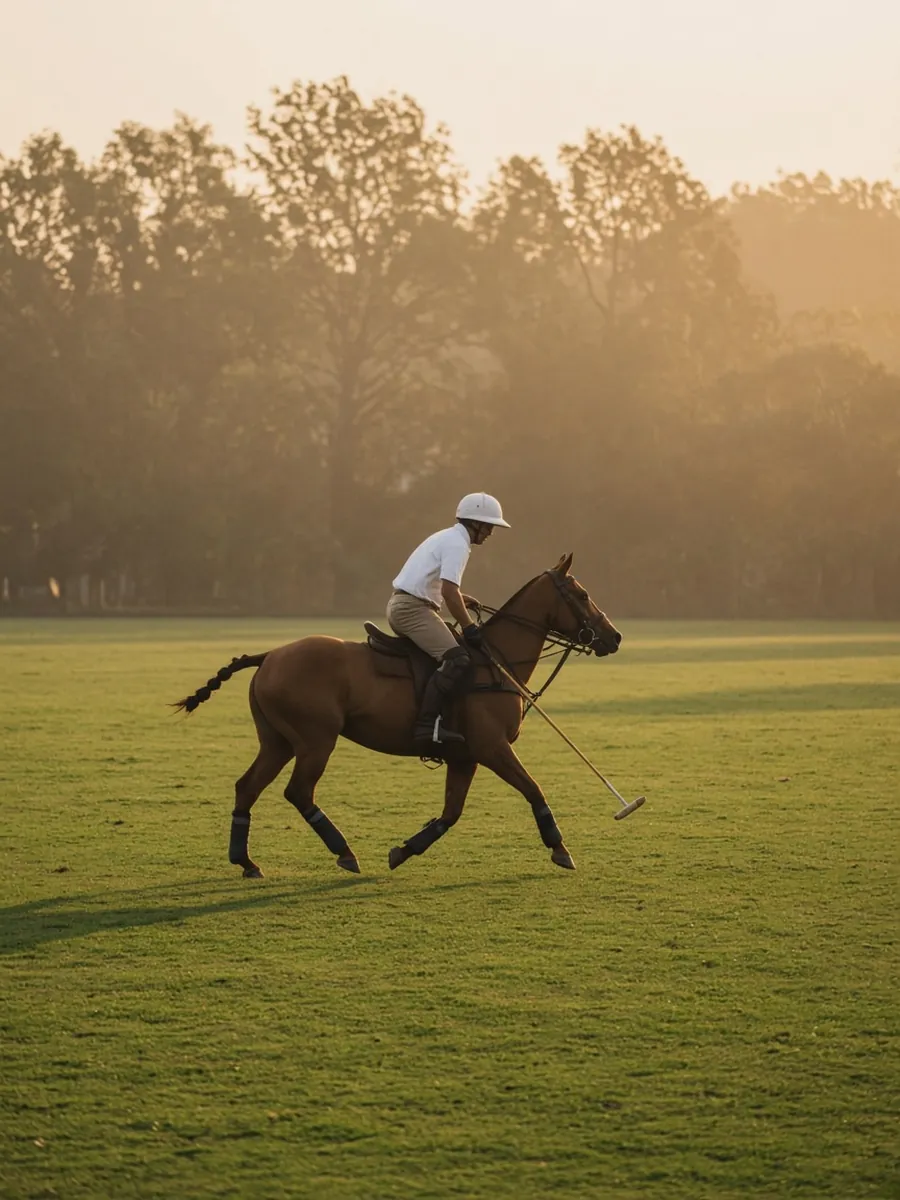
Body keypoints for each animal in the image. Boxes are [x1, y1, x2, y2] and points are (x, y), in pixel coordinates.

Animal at [174, 553, 622, 876]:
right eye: (582, 594)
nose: (614, 637)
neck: (497, 660)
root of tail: (268, 656)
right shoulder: (492, 747)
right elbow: (534, 790)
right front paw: (561, 849)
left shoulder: (465, 756)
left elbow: (450, 814)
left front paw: (403, 851)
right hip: (316, 739)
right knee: (298, 791)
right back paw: (345, 853)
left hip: (278, 740)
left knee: (247, 786)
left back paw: (246, 862)